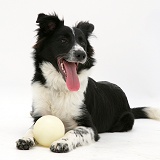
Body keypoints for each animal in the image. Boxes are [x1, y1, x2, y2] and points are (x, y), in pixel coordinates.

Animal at [16, 12, 160, 152]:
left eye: (83, 44)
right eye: (63, 40)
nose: (82, 54)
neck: (60, 88)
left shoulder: (89, 127)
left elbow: (74, 131)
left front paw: (62, 142)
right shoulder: (40, 115)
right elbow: (31, 128)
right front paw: (25, 139)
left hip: (124, 121)